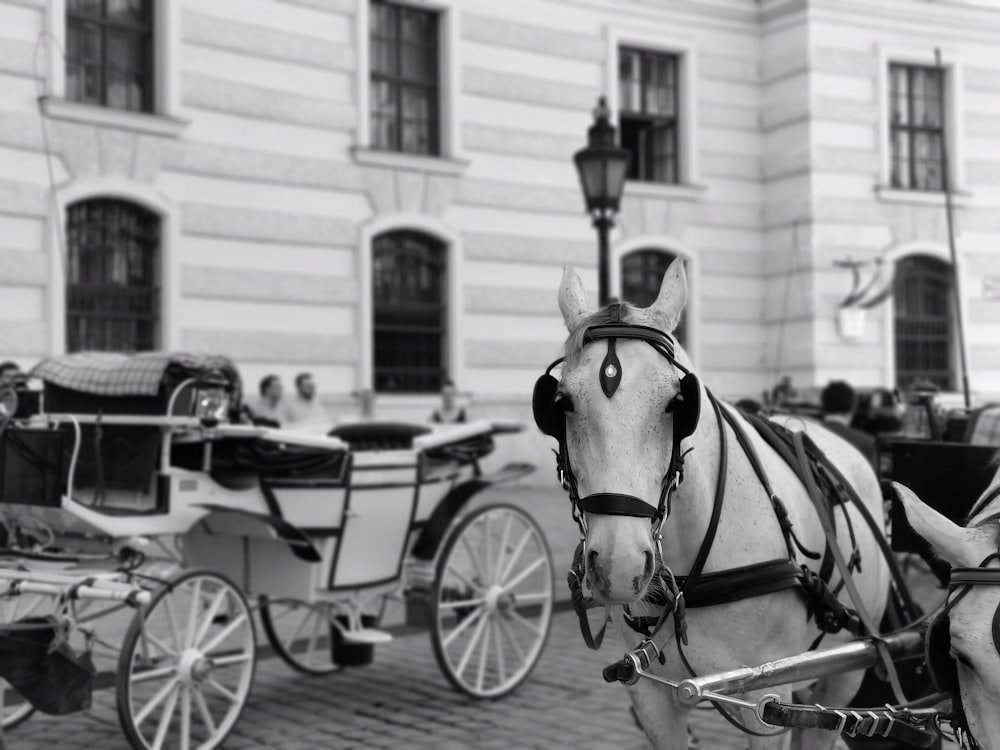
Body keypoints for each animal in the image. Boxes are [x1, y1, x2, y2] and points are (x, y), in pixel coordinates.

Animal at [552, 262, 896, 748]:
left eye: (677, 403)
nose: (619, 565)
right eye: (561, 402)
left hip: (848, 667)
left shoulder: (768, 697)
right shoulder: (652, 697)